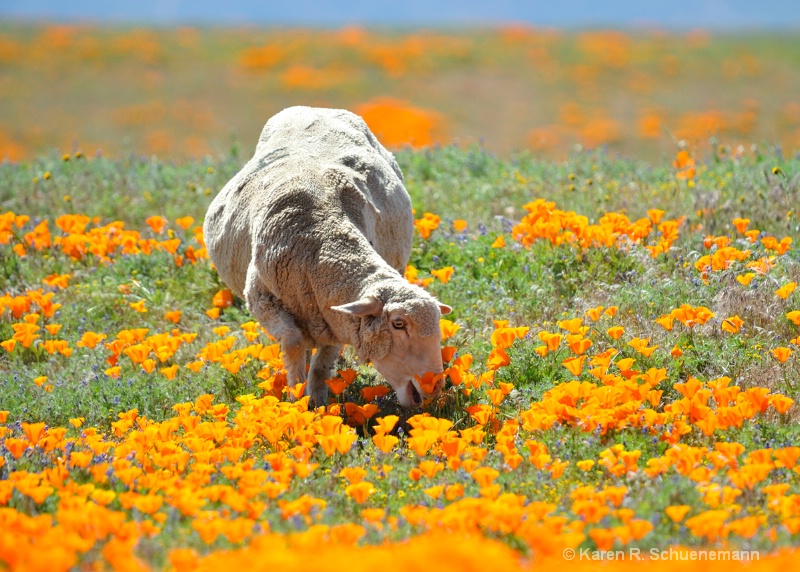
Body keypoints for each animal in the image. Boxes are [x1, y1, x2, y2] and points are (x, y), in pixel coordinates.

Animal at [202, 107, 450, 408]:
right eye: (398, 324)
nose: (434, 388)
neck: (322, 235)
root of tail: (313, 108)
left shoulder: (335, 315)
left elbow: (323, 363)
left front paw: (319, 404)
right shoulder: (263, 299)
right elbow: (293, 343)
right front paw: (295, 399)